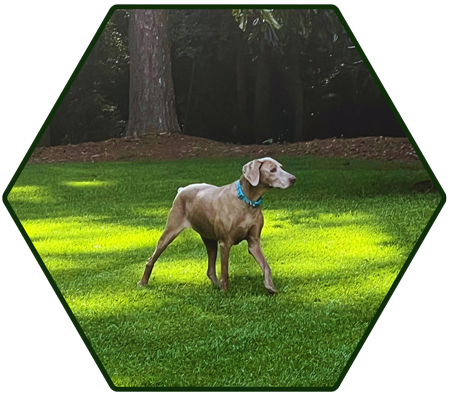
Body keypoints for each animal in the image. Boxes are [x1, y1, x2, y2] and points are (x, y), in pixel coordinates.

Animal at [139, 156, 298, 292]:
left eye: (281, 167)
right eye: (272, 170)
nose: (293, 179)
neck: (247, 201)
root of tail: (182, 189)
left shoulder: (254, 242)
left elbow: (266, 266)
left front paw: (270, 287)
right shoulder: (225, 242)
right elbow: (225, 270)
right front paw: (225, 292)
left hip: (209, 239)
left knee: (210, 269)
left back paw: (215, 285)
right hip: (170, 231)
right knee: (151, 259)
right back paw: (143, 282)